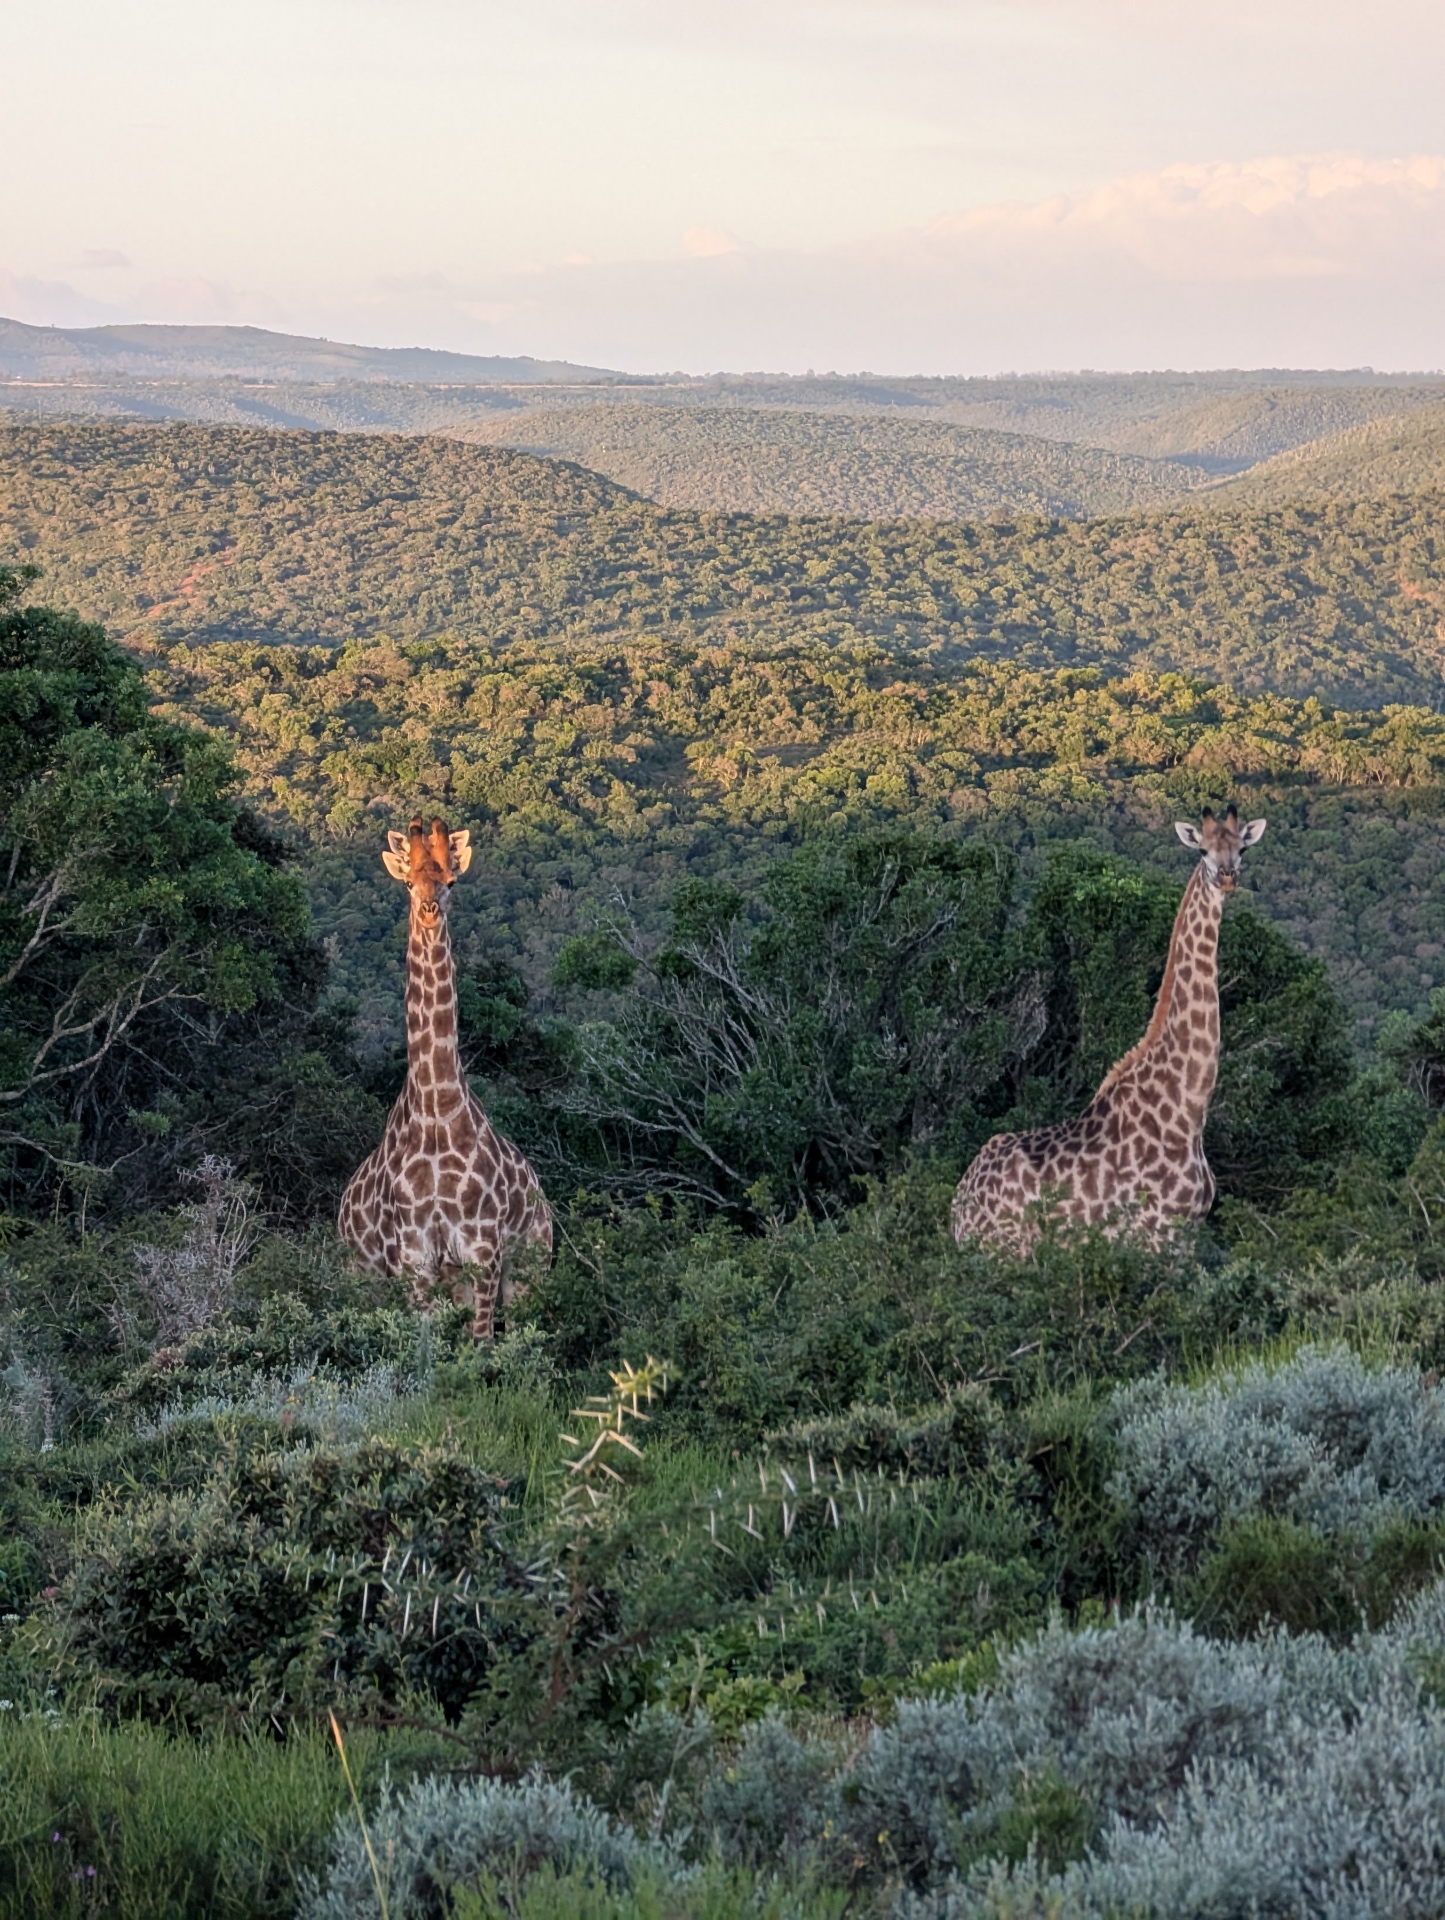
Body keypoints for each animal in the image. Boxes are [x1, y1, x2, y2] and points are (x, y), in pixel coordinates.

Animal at [338, 816, 553, 1336]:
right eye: (409, 882)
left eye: (451, 882)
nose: (430, 910)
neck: (436, 1111)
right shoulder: (413, 1258)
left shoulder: (483, 1250)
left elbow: (481, 1344)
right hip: (361, 1275)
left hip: (532, 1259)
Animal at [951, 806, 1266, 1253]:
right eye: (1203, 850)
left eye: (1242, 848)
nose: (1226, 876)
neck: (1187, 1112)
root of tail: (958, 1208)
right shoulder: (1156, 1236)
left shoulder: (1187, 1238)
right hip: (1006, 1250)